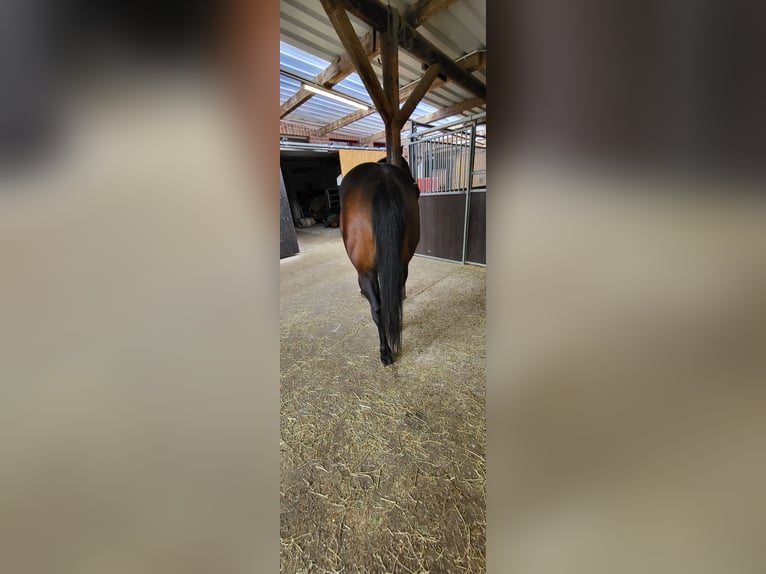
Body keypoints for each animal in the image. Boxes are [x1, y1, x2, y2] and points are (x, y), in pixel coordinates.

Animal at [339, 157, 420, 365]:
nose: (417, 190)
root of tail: (383, 180)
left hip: (365, 272)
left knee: (377, 309)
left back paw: (385, 352)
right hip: (401, 267)